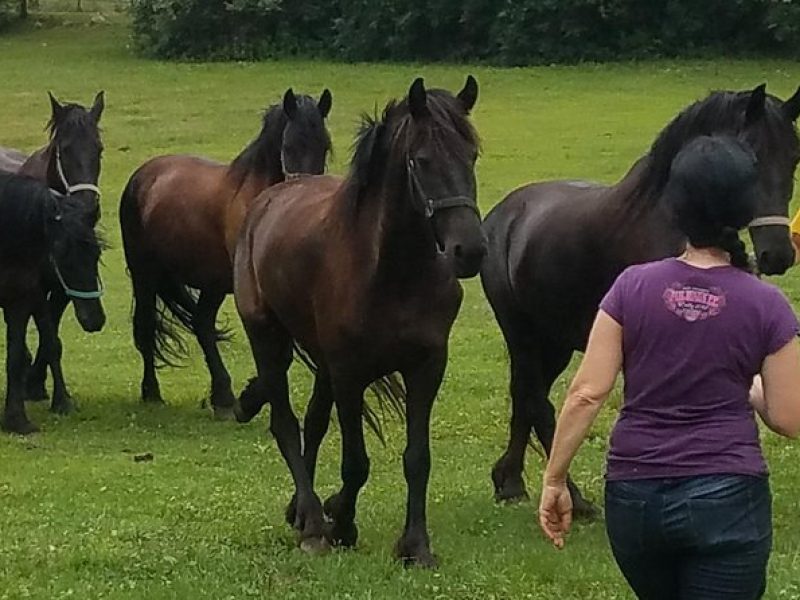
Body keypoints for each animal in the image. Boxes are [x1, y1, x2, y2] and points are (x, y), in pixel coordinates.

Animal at [0, 171, 105, 434]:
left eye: (96, 254)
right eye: (62, 256)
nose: (94, 319)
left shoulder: (20, 300)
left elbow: (17, 355)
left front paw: (17, 420)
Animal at [14, 91, 105, 414]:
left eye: (99, 150)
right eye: (64, 149)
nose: (88, 206)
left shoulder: (66, 287)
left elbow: (50, 335)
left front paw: (40, 385)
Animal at [118, 89, 332, 420]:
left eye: (323, 146)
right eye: (288, 146)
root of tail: (142, 176)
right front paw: (254, 397)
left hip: (212, 283)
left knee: (202, 324)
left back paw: (222, 396)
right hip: (145, 275)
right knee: (147, 327)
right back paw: (152, 392)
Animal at [231, 76, 482, 568]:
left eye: (472, 156)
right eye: (421, 161)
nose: (470, 250)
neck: (392, 272)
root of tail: (270, 199)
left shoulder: (427, 367)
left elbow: (417, 458)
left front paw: (415, 544)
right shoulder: (349, 373)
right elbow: (356, 463)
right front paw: (340, 522)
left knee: (311, 423)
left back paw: (301, 509)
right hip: (269, 339)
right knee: (286, 424)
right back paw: (312, 523)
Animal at [482, 83, 800, 516]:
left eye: (794, 158)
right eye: (753, 156)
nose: (778, 255)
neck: (668, 221)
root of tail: (501, 216)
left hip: (554, 341)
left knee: (526, 398)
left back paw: (511, 482)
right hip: (523, 334)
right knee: (537, 403)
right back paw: (572, 498)